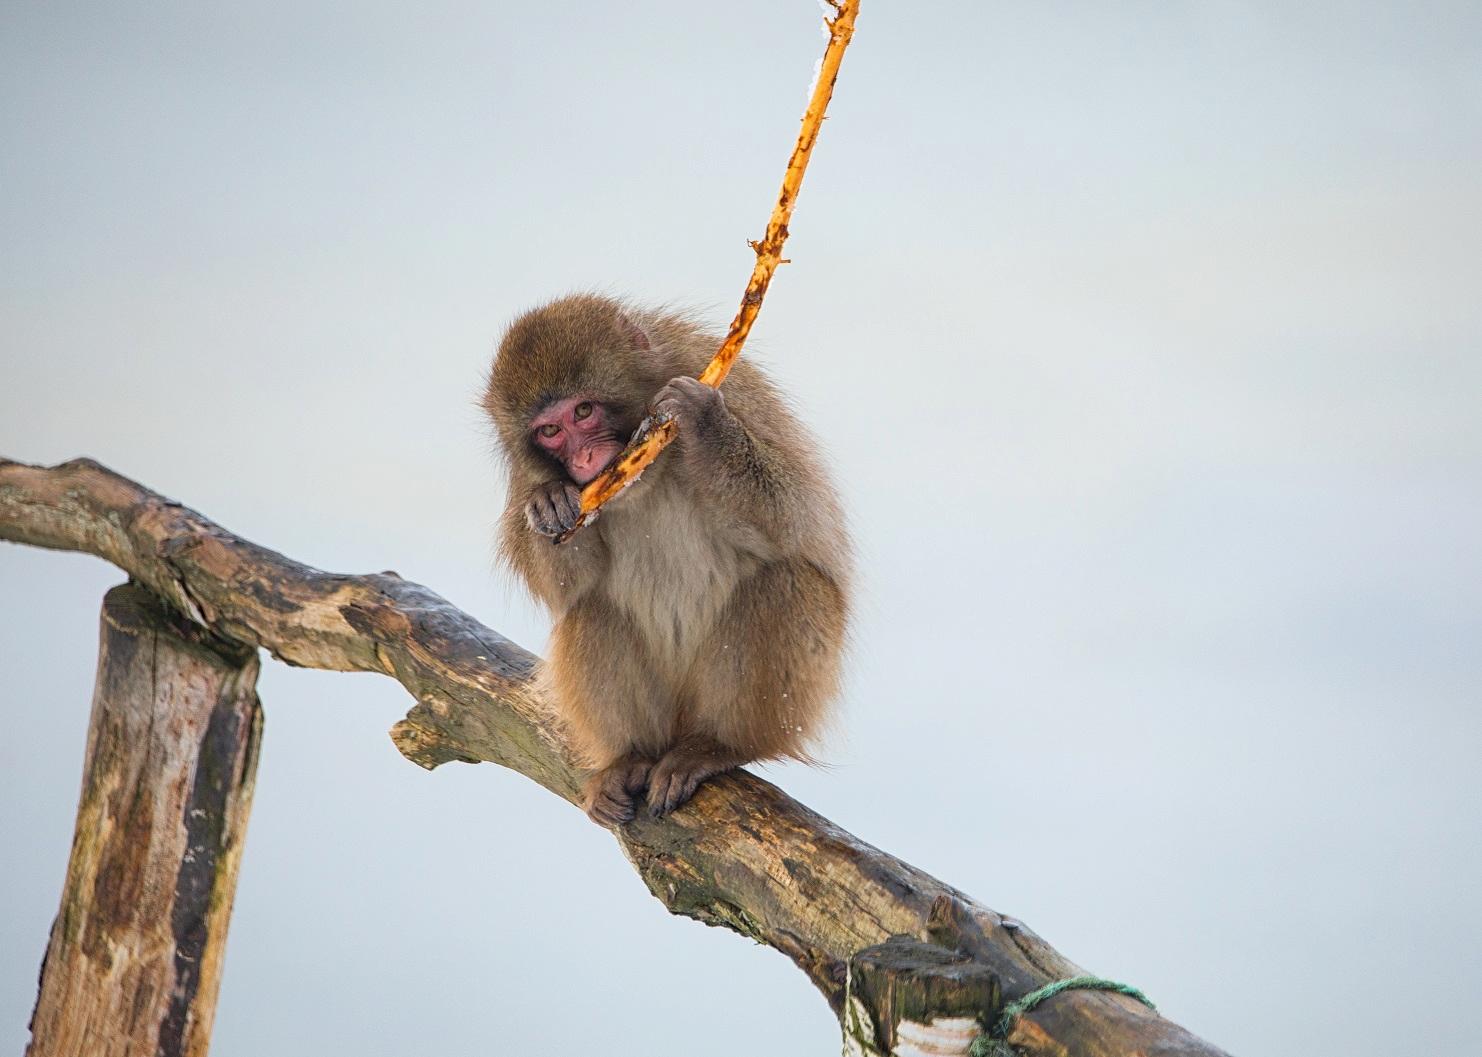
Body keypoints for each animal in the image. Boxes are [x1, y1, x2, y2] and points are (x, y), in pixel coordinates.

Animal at [483, 293, 851, 826]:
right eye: (550, 430)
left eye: (585, 410)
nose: (585, 462)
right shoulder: (525, 472)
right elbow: (565, 588)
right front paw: (551, 500)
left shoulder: (727, 387)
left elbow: (797, 520)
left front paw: (708, 428)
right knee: (590, 611)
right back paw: (630, 757)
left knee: (787, 580)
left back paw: (715, 746)